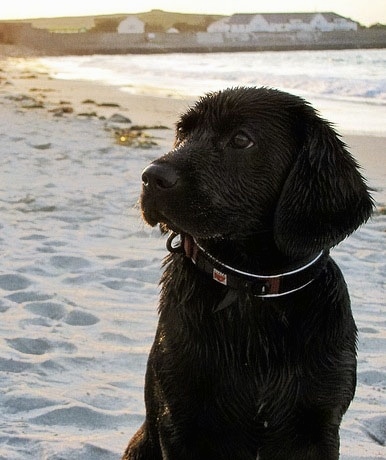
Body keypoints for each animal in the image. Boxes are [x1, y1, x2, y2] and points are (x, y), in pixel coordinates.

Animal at [122, 87, 372, 460]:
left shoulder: (320, 425)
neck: (253, 288)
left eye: (241, 139)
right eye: (183, 132)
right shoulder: (180, 422)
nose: (151, 176)